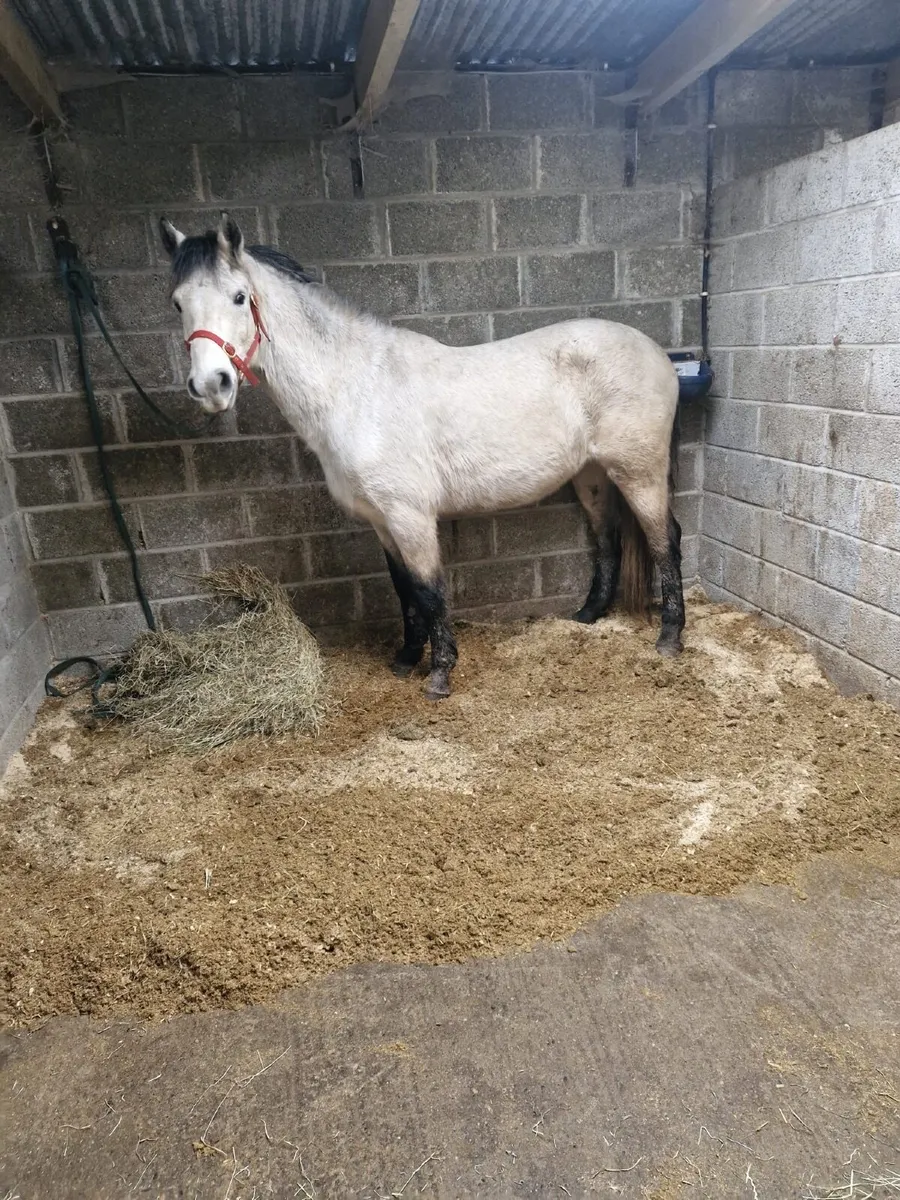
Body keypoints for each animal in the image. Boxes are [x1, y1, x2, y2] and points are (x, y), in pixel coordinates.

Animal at [159, 212, 685, 700]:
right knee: (608, 536)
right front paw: (406, 658)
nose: (211, 386)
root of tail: (658, 354)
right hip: (592, 474)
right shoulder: (381, 519)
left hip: (638, 471)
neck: (356, 390)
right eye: (178, 303)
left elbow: (430, 590)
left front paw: (440, 674)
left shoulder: (409, 515)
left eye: (238, 297)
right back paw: (588, 616)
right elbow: (404, 588)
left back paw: (670, 638)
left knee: (665, 540)